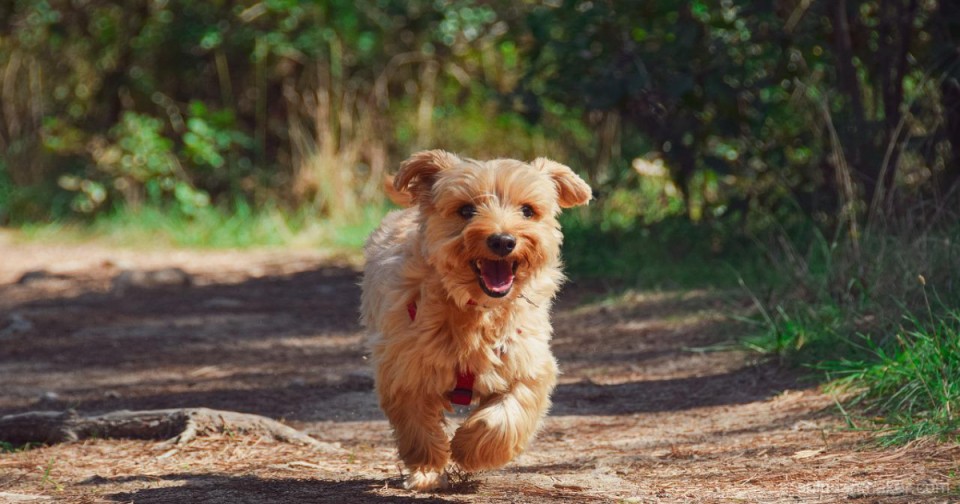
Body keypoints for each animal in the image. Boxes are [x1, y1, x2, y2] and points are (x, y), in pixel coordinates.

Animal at [358, 149, 588, 488]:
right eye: (466, 210)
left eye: (528, 210)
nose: (503, 240)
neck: (477, 311)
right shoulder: (405, 368)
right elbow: (417, 425)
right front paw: (427, 468)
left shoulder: (528, 364)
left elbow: (506, 415)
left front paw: (469, 449)